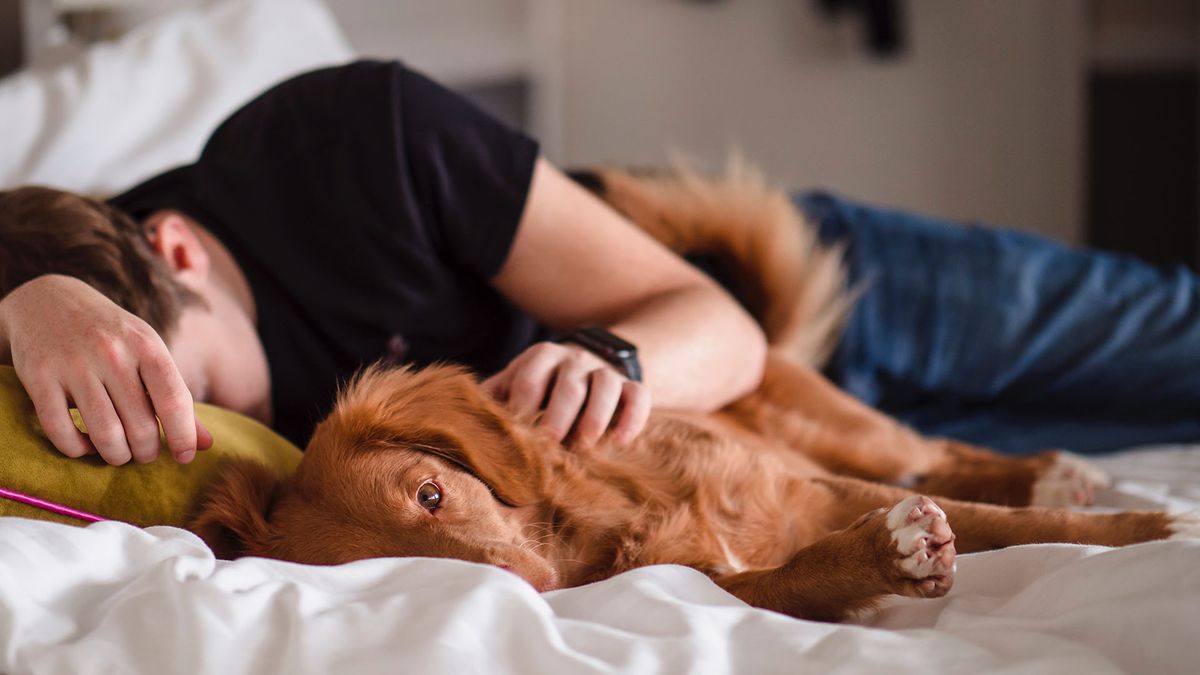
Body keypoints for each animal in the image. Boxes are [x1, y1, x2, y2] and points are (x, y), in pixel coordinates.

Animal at [189, 166, 1200, 619]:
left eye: (433, 493)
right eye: (399, 571)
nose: (532, 588)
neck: (605, 517)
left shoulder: (813, 483)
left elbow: (1020, 526)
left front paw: (1153, 527)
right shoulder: (711, 578)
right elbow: (796, 574)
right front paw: (884, 557)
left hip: (850, 432)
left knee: (943, 451)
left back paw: (1053, 470)